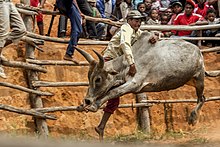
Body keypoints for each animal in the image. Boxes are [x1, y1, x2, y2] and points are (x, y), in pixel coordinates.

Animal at [76, 31, 205, 125]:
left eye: (98, 79)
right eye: (89, 77)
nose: (87, 100)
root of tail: (198, 50)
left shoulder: (135, 83)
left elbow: (113, 92)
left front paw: (93, 106)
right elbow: (109, 92)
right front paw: (84, 106)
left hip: (199, 79)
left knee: (202, 98)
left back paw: (193, 118)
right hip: (190, 80)